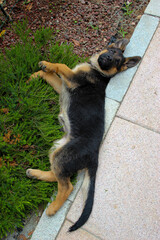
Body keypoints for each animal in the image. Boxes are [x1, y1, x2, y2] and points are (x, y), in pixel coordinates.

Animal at [25, 38, 141, 232]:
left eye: (117, 62)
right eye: (111, 51)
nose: (108, 58)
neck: (97, 71)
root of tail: (95, 155)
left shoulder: (72, 79)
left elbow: (61, 65)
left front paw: (48, 64)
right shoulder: (63, 86)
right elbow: (49, 76)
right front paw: (34, 76)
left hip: (62, 155)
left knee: (67, 186)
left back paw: (53, 208)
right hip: (57, 149)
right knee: (58, 175)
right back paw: (35, 173)